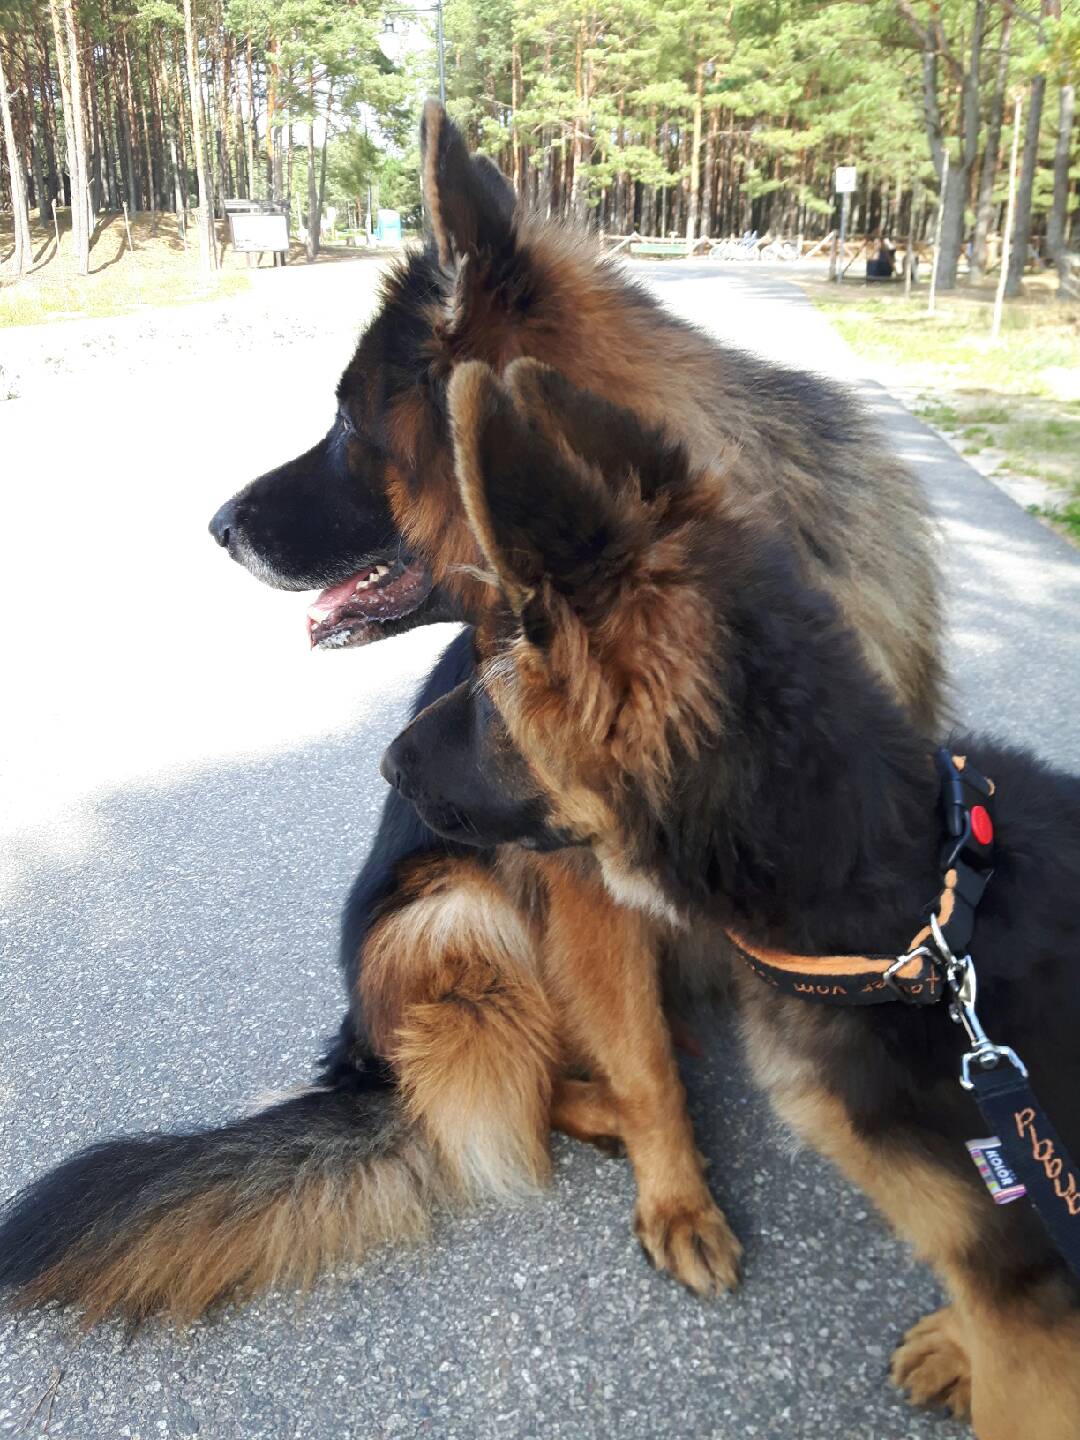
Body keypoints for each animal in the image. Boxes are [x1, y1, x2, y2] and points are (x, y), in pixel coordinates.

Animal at [0, 102, 944, 1325]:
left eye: (347, 425)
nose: (214, 525)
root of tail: (360, 1056)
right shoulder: (583, 891)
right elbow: (640, 1062)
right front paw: (677, 1196)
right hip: (452, 918)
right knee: (512, 1090)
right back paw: (605, 1112)